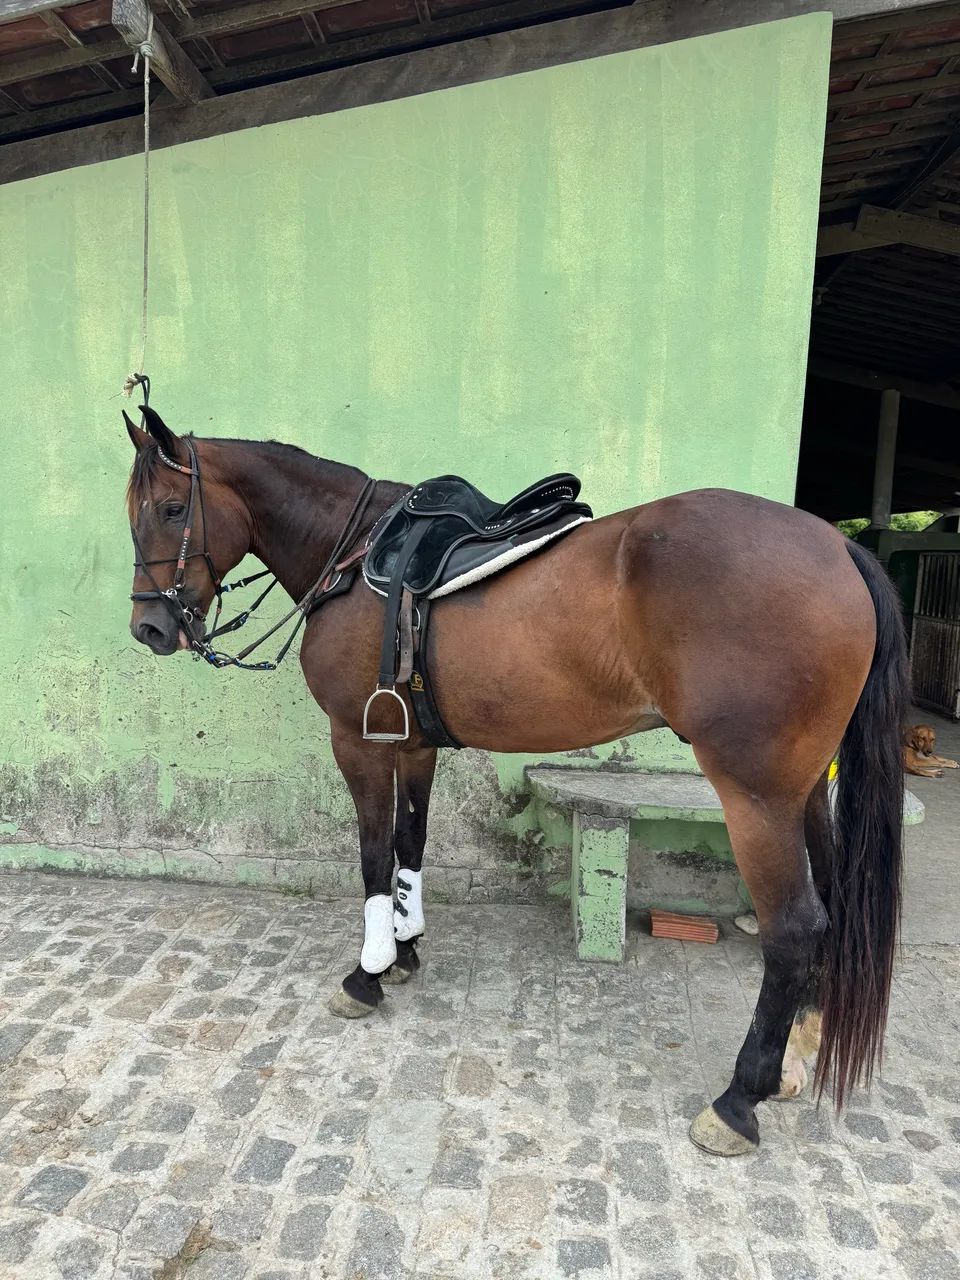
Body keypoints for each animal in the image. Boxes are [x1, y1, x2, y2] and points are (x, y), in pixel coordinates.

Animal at [123, 405, 908, 1157]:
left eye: (170, 507)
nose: (150, 629)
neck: (352, 557)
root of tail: (838, 547)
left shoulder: (358, 742)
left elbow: (374, 856)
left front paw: (368, 973)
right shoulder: (414, 745)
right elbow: (410, 847)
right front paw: (406, 949)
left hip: (756, 797)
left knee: (795, 928)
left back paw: (738, 1101)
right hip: (803, 793)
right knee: (830, 907)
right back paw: (798, 1053)